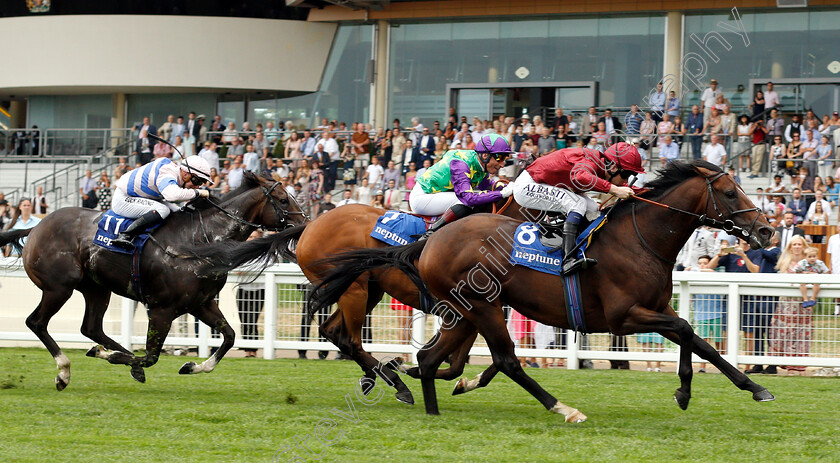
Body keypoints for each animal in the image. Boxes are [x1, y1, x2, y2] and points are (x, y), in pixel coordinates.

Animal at [0, 172, 306, 390]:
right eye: (282, 199)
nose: (305, 222)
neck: (199, 240)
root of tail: (35, 226)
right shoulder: (161, 309)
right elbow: (151, 356)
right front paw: (112, 358)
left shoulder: (202, 303)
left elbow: (229, 336)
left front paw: (192, 366)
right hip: (58, 288)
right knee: (37, 322)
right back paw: (64, 371)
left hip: (96, 288)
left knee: (92, 328)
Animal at [308, 161, 776, 422]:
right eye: (730, 192)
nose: (766, 230)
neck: (638, 240)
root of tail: (430, 241)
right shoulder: (625, 315)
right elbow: (689, 333)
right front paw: (714, 389)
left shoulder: (655, 308)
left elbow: (694, 338)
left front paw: (725, 388)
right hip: (470, 305)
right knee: (505, 361)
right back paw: (563, 408)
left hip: (460, 308)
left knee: (424, 357)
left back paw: (422, 400)